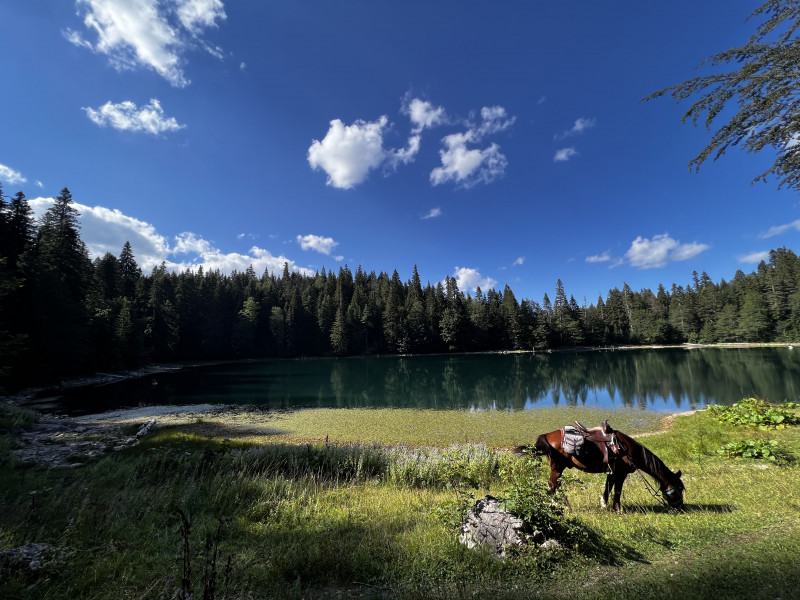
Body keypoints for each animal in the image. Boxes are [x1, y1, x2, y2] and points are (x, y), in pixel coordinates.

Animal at [520, 422, 684, 510]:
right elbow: (617, 491)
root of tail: (546, 436)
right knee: (553, 484)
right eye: (680, 488)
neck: (628, 450)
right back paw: (561, 504)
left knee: (555, 484)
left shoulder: (612, 472)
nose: (680, 507)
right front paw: (618, 509)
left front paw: (604, 504)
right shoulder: (621, 474)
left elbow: (608, 488)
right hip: (558, 467)